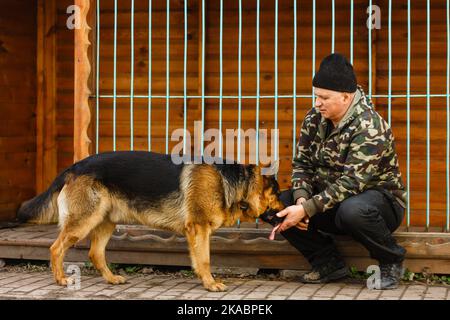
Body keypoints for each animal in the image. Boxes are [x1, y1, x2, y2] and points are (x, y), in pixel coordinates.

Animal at [19, 151, 284, 292]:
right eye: (278, 194)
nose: (287, 206)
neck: (232, 182)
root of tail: (73, 167)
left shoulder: (196, 232)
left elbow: (199, 260)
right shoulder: (199, 229)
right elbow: (205, 259)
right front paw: (210, 284)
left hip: (105, 223)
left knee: (95, 253)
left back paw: (111, 279)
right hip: (83, 222)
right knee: (56, 248)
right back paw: (61, 279)